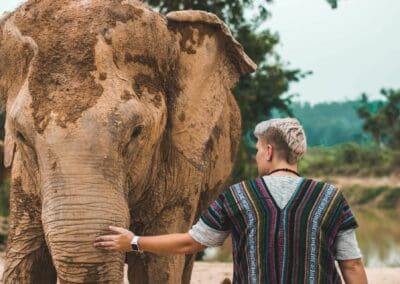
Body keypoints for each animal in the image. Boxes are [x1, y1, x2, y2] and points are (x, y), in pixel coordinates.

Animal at [0, 1, 256, 282]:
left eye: (136, 131)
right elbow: (26, 262)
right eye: (21, 135)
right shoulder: (23, 179)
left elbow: (158, 267)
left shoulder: (181, 178)